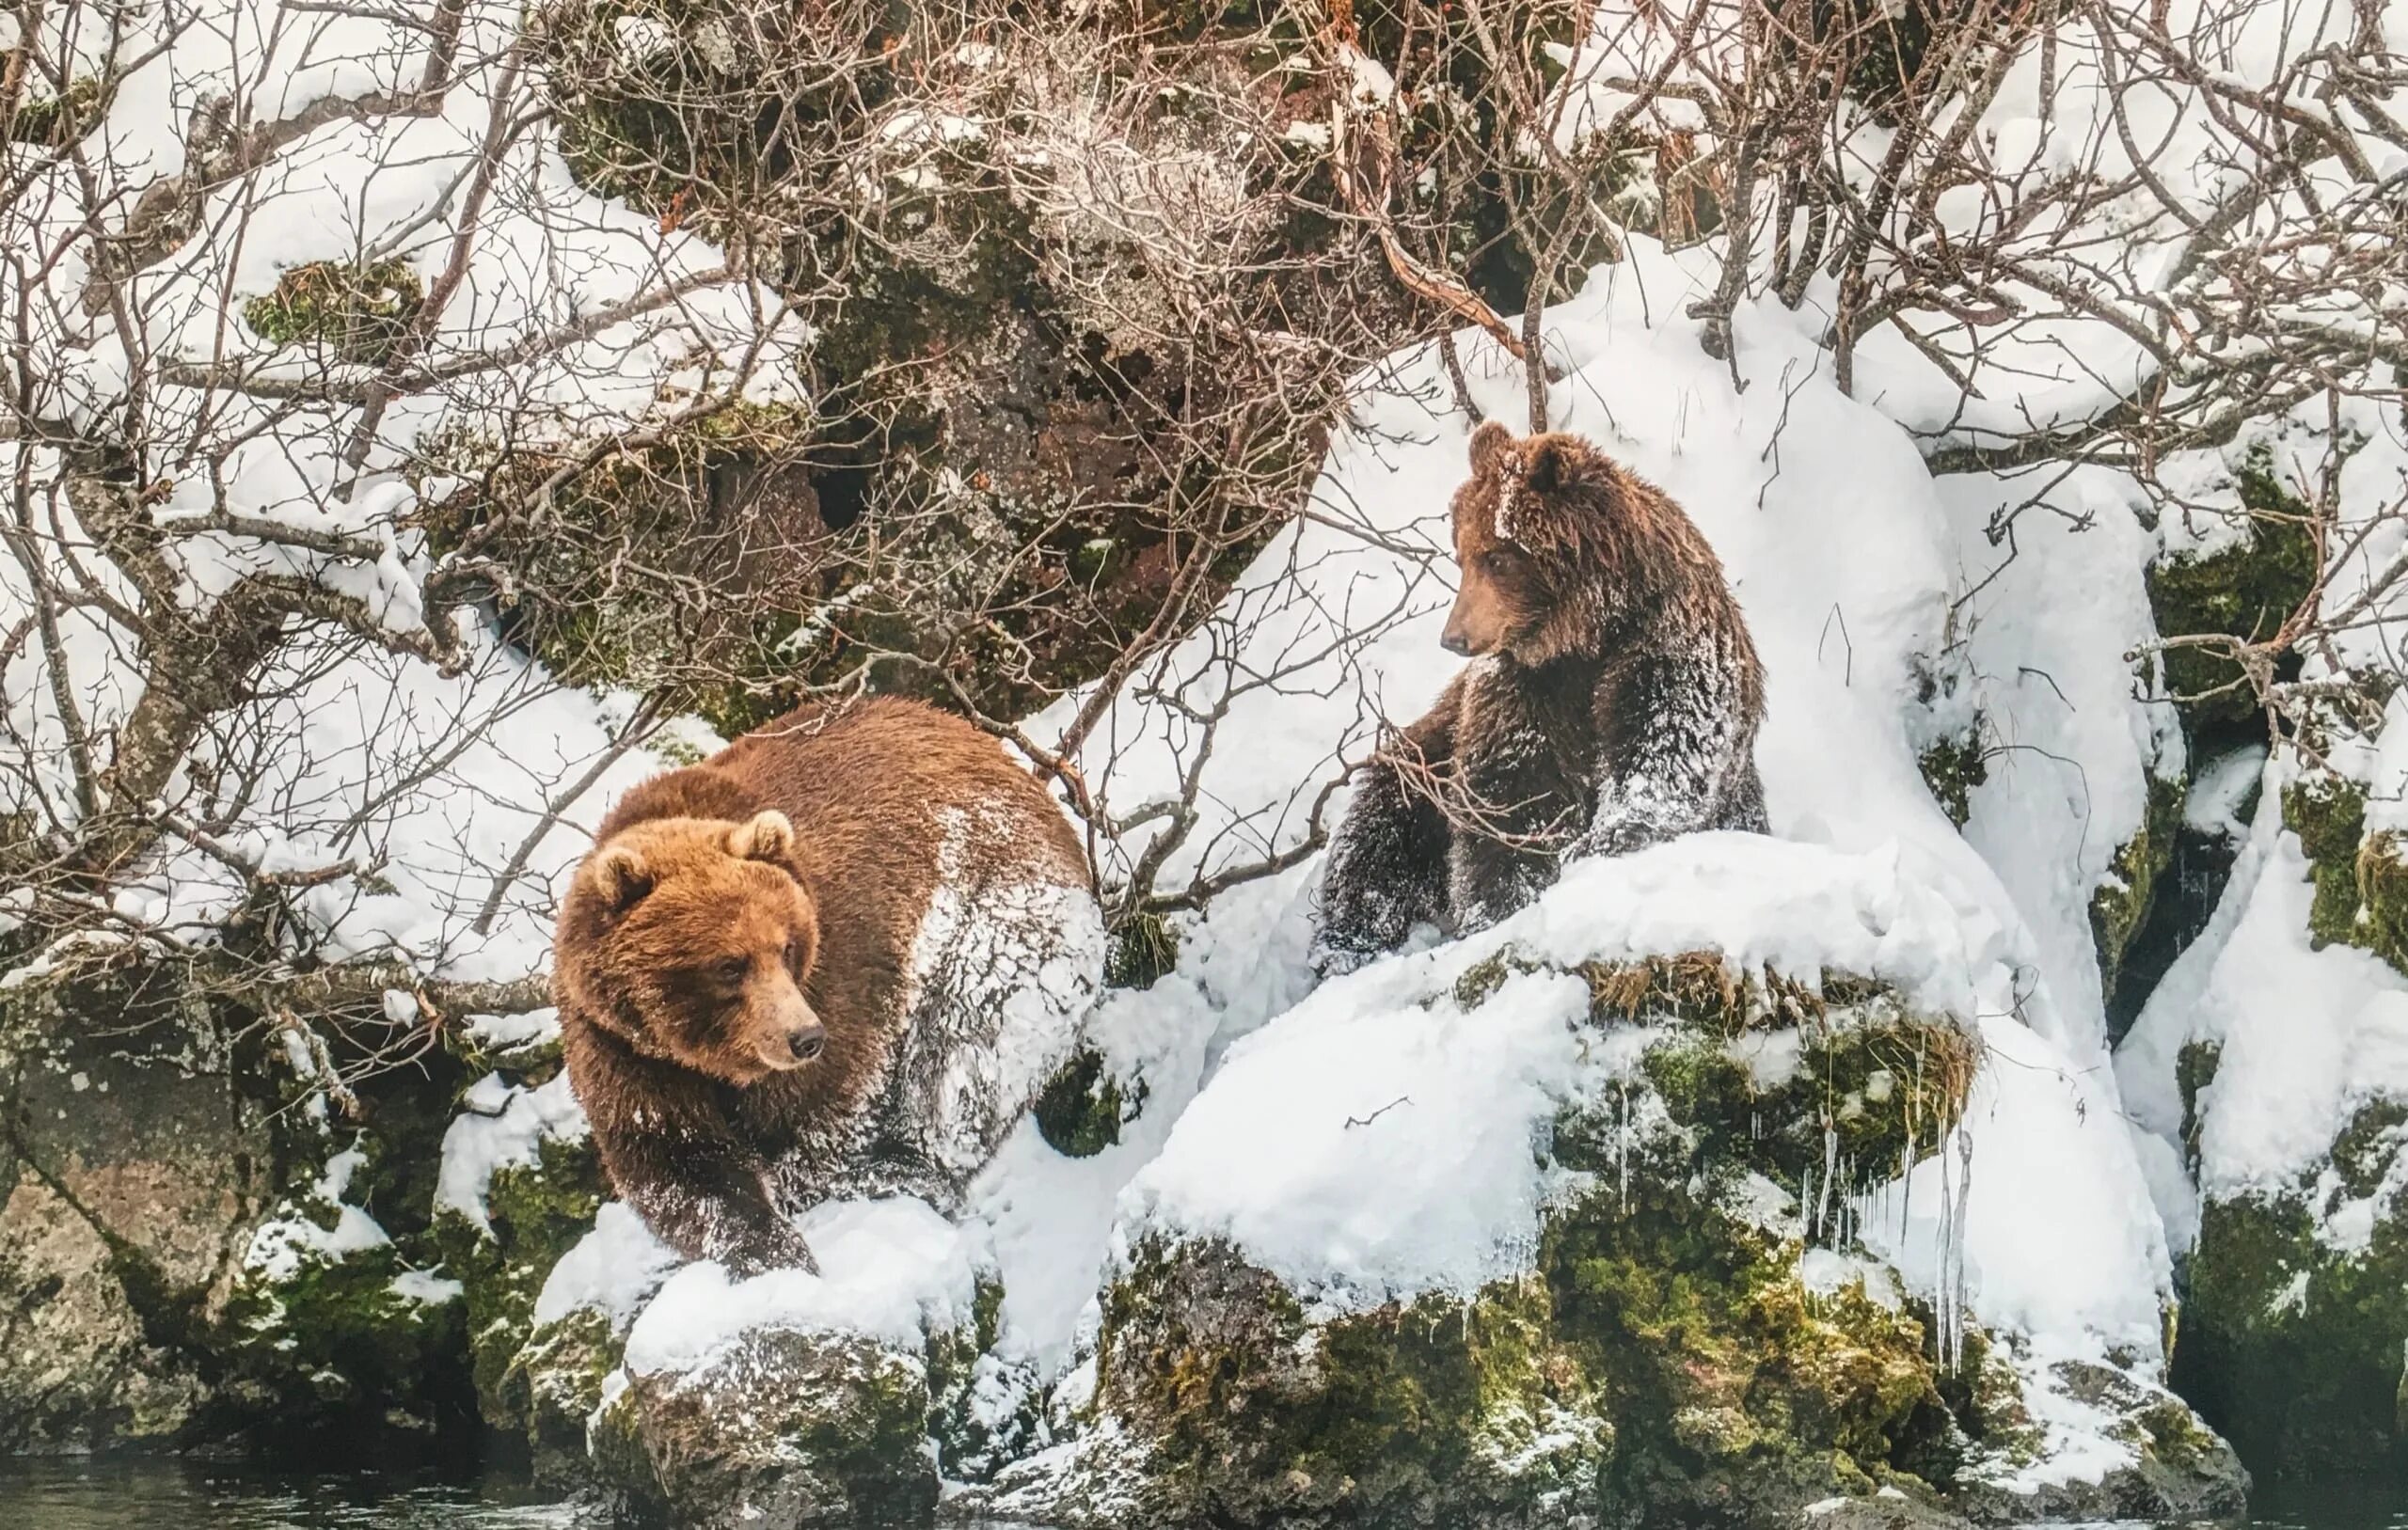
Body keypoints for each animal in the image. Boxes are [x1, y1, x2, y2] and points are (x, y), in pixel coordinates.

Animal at [551, 697, 1102, 1270]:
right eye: (729, 965)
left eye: (786, 947)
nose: (804, 1038)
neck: (710, 1054)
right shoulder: (624, 1049)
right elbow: (679, 1160)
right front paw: (763, 1241)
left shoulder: (846, 967)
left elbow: (833, 1110)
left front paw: (802, 1186)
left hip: (1000, 916)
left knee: (967, 1054)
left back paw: (901, 1165)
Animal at [1319, 420, 1772, 967]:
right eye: (1461, 556)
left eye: (1496, 557)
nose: (1454, 637)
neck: (1586, 630)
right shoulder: (1524, 689)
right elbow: (1514, 791)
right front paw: (1500, 902)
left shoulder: (1667, 632)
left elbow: (1667, 734)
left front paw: (1609, 836)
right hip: (1428, 758)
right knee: (1380, 830)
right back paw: (1350, 941)